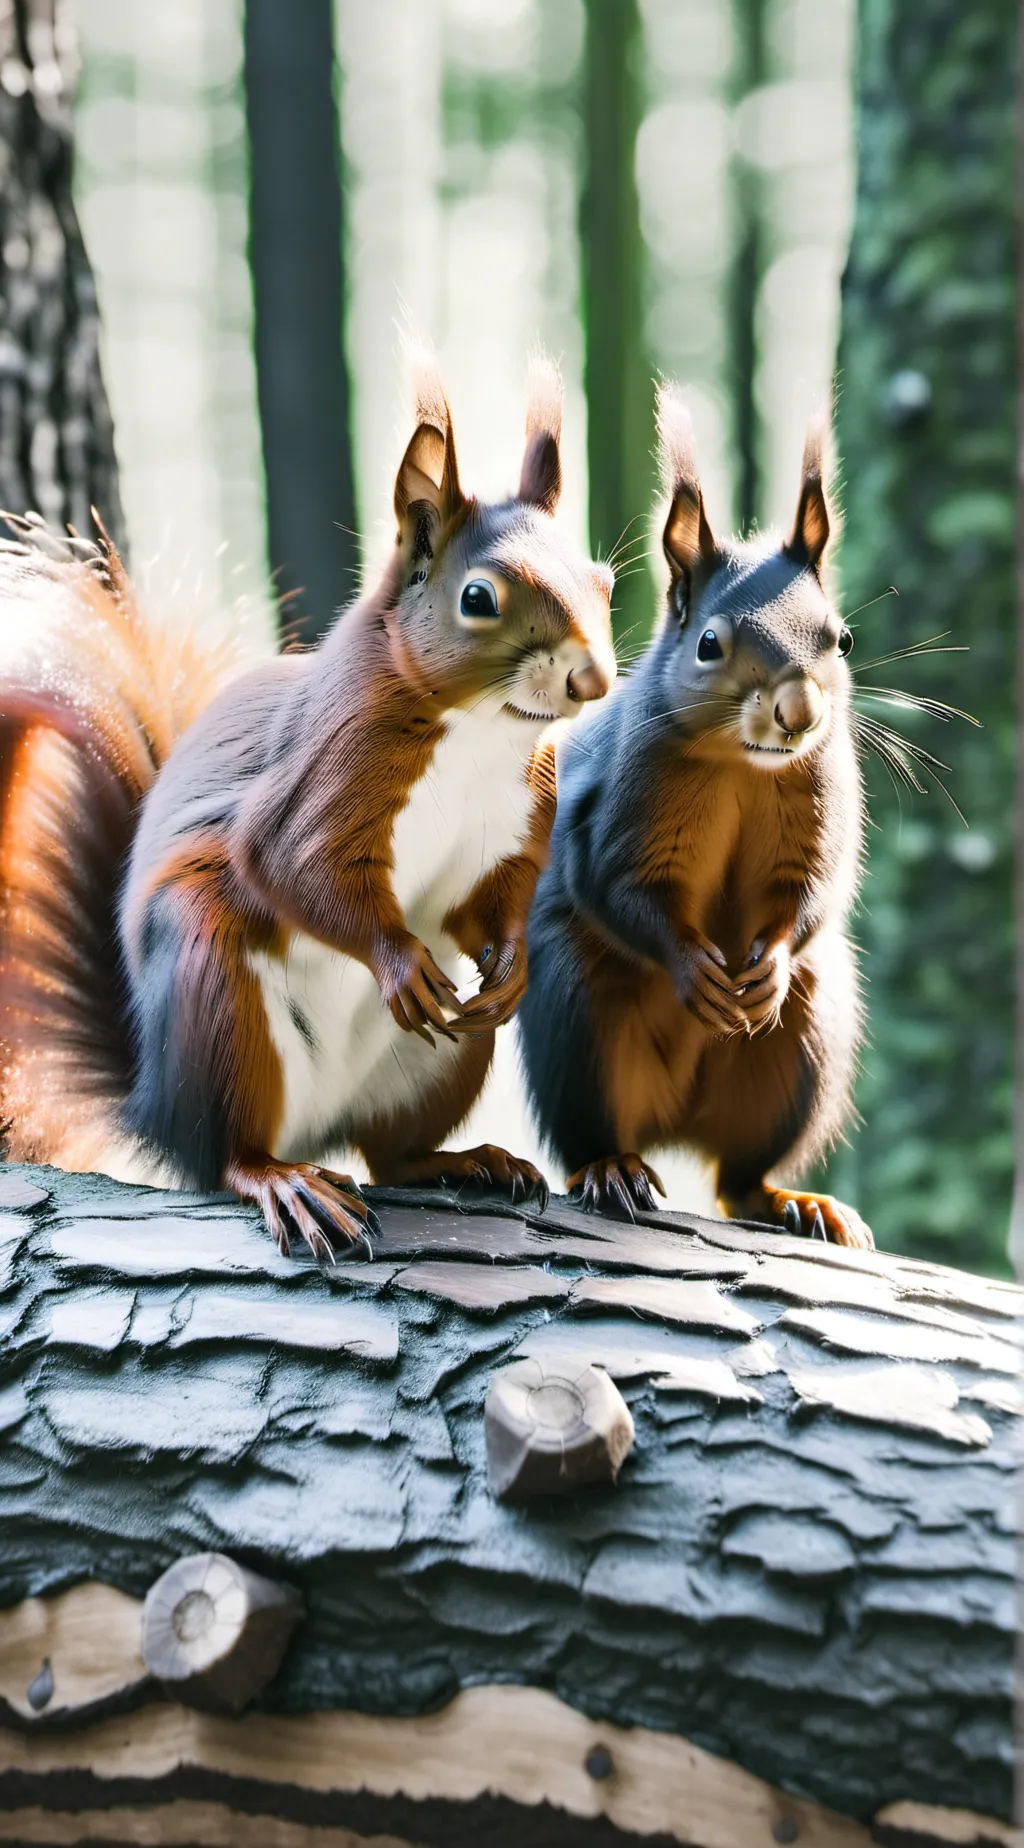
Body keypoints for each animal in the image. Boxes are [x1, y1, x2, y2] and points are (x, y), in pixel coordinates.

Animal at [0, 358, 616, 1257]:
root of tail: (154, 1105)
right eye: (478, 598)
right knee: (226, 1155)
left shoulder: (513, 821)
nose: (592, 679)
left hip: (442, 1059)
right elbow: (292, 865)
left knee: (392, 1153)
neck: (479, 732)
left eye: (604, 581)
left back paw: (467, 1160)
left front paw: (511, 967)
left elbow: (490, 903)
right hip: (218, 996)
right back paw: (281, 1180)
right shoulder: (328, 770)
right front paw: (396, 959)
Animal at [518, 383, 873, 1249]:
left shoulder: (823, 804)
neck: (744, 770)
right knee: (595, 1133)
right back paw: (611, 1169)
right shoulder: (614, 810)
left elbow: (816, 893)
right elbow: (620, 890)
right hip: (579, 1023)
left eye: (841, 639)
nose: (798, 715)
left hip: (803, 1053)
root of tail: (672, 1123)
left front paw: (765, 966)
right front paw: (691, 967)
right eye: (709, 643)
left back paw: (793, 1202)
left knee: (737, 1180)